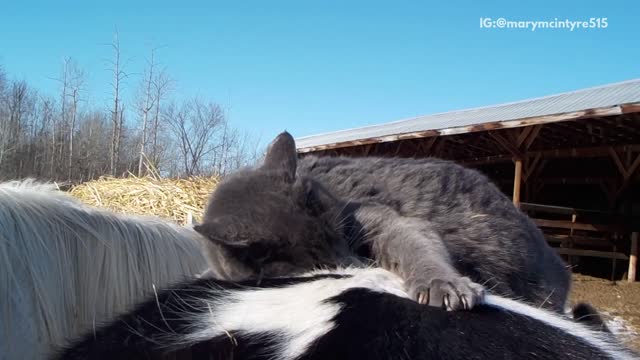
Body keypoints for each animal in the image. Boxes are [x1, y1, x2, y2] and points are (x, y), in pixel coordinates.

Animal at [195, 132, 568, 312]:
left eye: (337, 235)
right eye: (318, 263)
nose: (357, 266)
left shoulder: (377, 218)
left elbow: (415, 243)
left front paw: (444, 285)